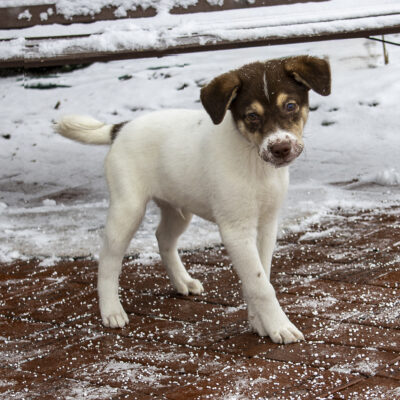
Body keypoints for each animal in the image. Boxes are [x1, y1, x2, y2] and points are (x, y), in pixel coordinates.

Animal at [57, 55, 332, 344]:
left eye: (290, 106)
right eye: (252, 116)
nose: (280, 148)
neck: (255, 163)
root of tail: (121, 128)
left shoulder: (267, 224)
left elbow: (260, 276)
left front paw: (259, 322)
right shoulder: (236, 230)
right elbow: (260, 284)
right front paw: (279, 326)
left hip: (178, 209)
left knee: (163, 238)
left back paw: (183, 282)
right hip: (127, 208)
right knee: (108, 259)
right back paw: (111, 311)